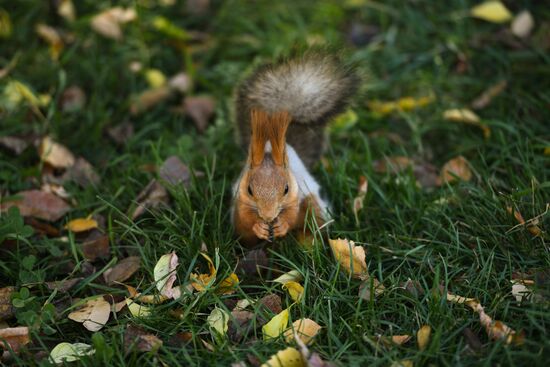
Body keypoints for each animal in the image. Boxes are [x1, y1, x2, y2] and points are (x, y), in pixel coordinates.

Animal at [232, 53, 358, 246]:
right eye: (249, 190)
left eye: (286, 189)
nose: (268, 216)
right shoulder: (241, 203)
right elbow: (245, 220)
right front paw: (258, 227)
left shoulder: (296, 197)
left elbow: (294, 216)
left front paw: (283, 225)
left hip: (314, 204)